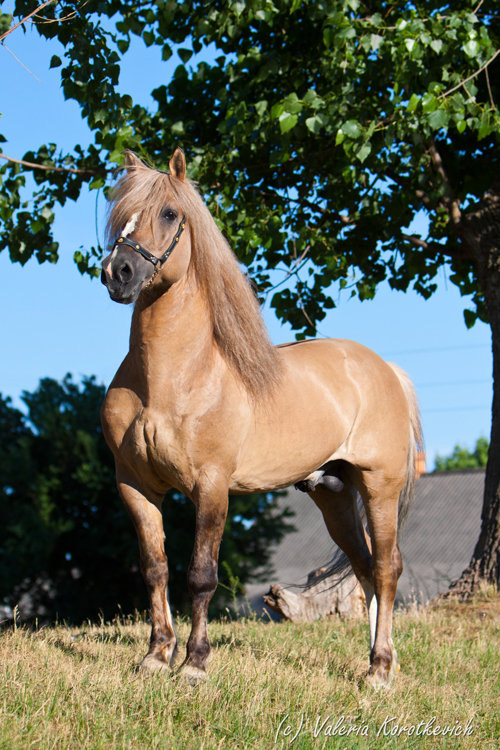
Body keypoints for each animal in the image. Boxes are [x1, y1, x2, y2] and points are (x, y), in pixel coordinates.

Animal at [99, 148, 420, 692]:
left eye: (169, 213)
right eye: (120, 214)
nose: (118, 272)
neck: (169, 379)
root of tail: (386, 370)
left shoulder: (211, 486)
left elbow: (201, 574)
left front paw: (195, 664)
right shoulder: (135, 486)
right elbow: (156, 568)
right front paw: (156, 656)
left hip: (380, 485)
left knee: (386, 567)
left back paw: (379, 671)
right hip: (333, 494)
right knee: (364, 567)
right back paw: (384, 661)